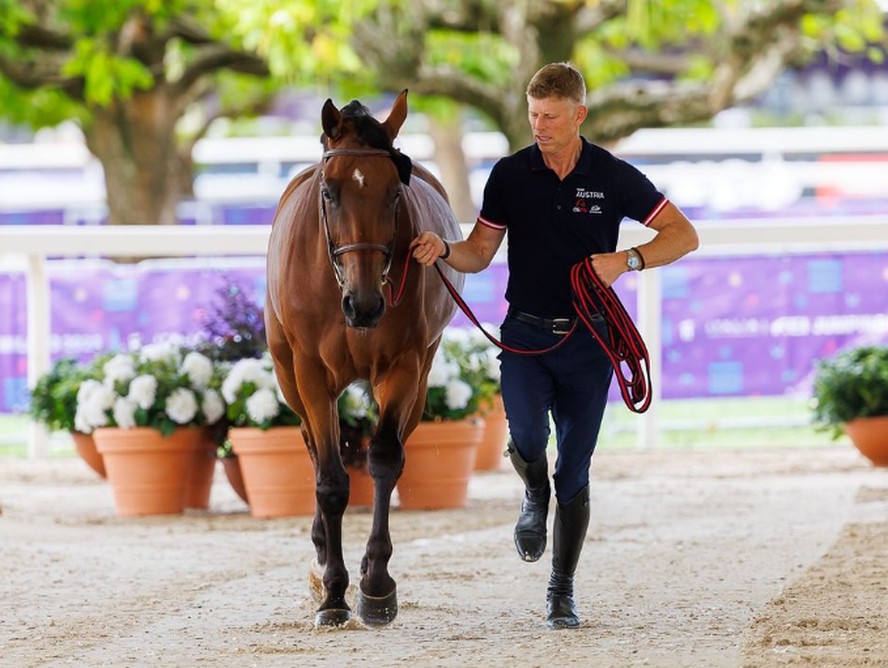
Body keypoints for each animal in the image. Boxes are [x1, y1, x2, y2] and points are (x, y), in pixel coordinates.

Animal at [264, 88, 464, 628]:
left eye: (395, 192)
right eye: (329, 192)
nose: (366, 305)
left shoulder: (403, 366)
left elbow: (385, 460)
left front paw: (375, 584)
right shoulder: (310, 372)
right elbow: (331, 480)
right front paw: (333, 592)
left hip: (419, 375)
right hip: (287, 372)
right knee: (314, 447)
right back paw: (319, 551)